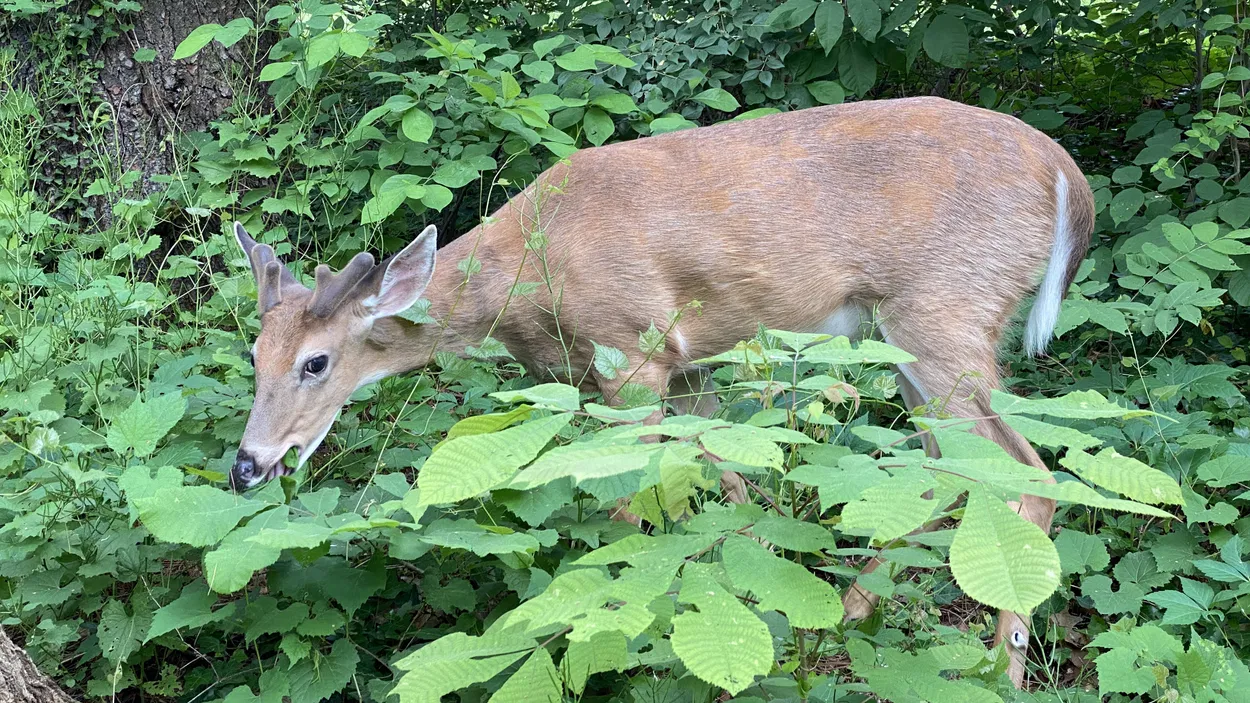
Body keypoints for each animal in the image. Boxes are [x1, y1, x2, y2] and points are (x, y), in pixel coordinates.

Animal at [230, 95, 1090, 685]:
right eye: (254, 355)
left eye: (316, 361)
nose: (246, 464)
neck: (528, 273)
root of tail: (1065, 174)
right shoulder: (685, 366)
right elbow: (725, 486)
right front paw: (763, 599)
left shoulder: (633, 351)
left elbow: (629, 506)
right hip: (906, 336)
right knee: (944, 468)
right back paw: (847, 616)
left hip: (945, 311)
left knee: (1026, 471)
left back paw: (1001, 667)